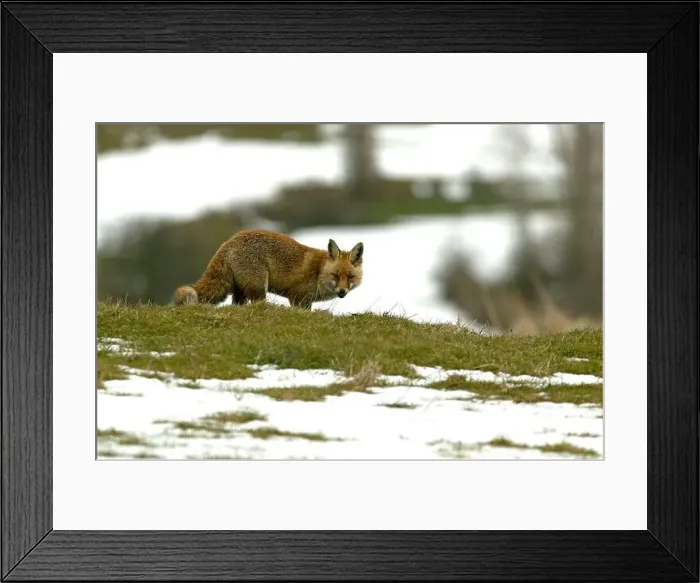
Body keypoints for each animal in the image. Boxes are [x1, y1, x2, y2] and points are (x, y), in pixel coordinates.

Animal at [173, 229, 364, 309]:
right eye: (335, 275)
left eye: (350, 277)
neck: (318, 272)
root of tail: (229, 241)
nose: (342, 292)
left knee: (237, 305)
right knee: (258, 305)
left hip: (240, 290)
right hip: (258, 287)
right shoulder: (297, 297)